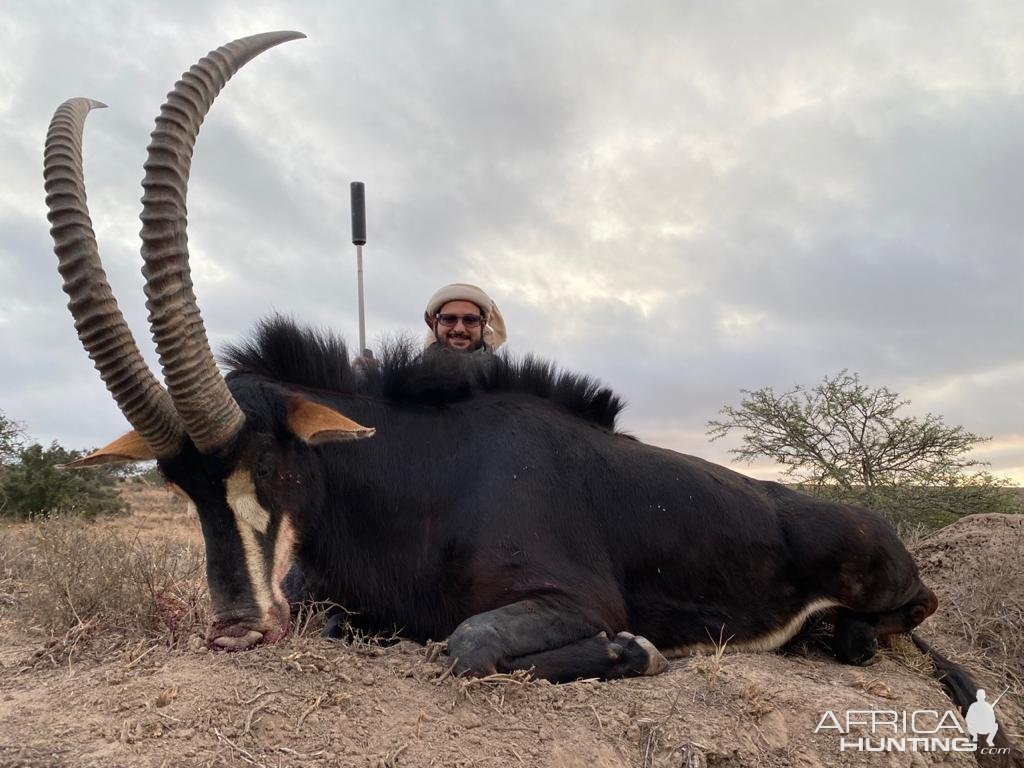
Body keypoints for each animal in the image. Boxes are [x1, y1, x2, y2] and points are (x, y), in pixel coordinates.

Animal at [46, 30, 991, 716]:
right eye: (178, 484)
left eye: (272, 462)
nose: (238, 634)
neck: (424, 478)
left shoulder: (572, 599)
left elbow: (467, 645)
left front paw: (636, 650)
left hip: (886, 581)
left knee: (910, 618)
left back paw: (845, 639)